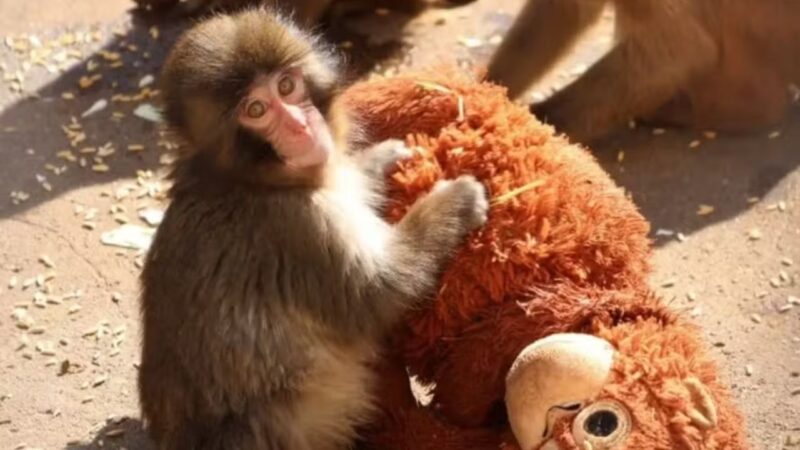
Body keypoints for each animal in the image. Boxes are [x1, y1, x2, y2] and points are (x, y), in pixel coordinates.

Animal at [137, 7, 488, 450]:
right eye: (256, 110)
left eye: (287, 86)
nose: (299, 126)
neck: (251, 181)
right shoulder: (298, 227)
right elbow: (379, 291)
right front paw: (455, 201)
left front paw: (381, 159)